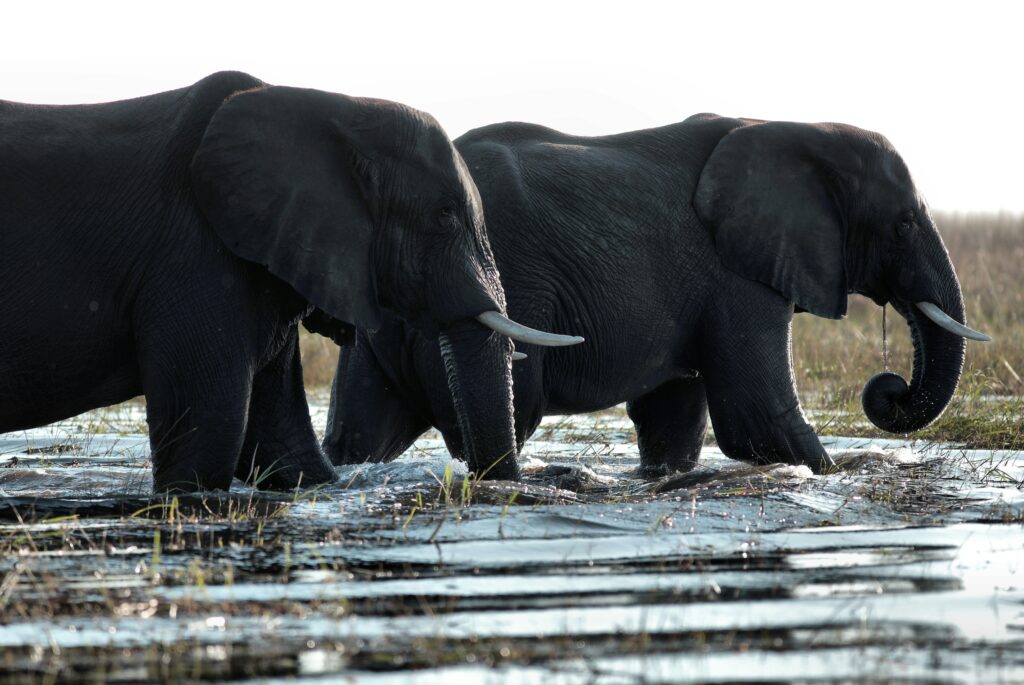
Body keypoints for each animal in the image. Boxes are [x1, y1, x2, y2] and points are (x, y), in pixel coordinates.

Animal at [0, 70, 577, 491]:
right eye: (444, 216)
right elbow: (206, 441)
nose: (487, 481)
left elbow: (287, 453)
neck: (336, 109)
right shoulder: (193, 255)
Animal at [323, 112, 987, 475]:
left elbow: (674, 422)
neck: (793, 127)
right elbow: (757, 418)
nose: (888, 389)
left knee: (360, 431)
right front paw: (836, 475)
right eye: (904, 224)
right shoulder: (734, 276)